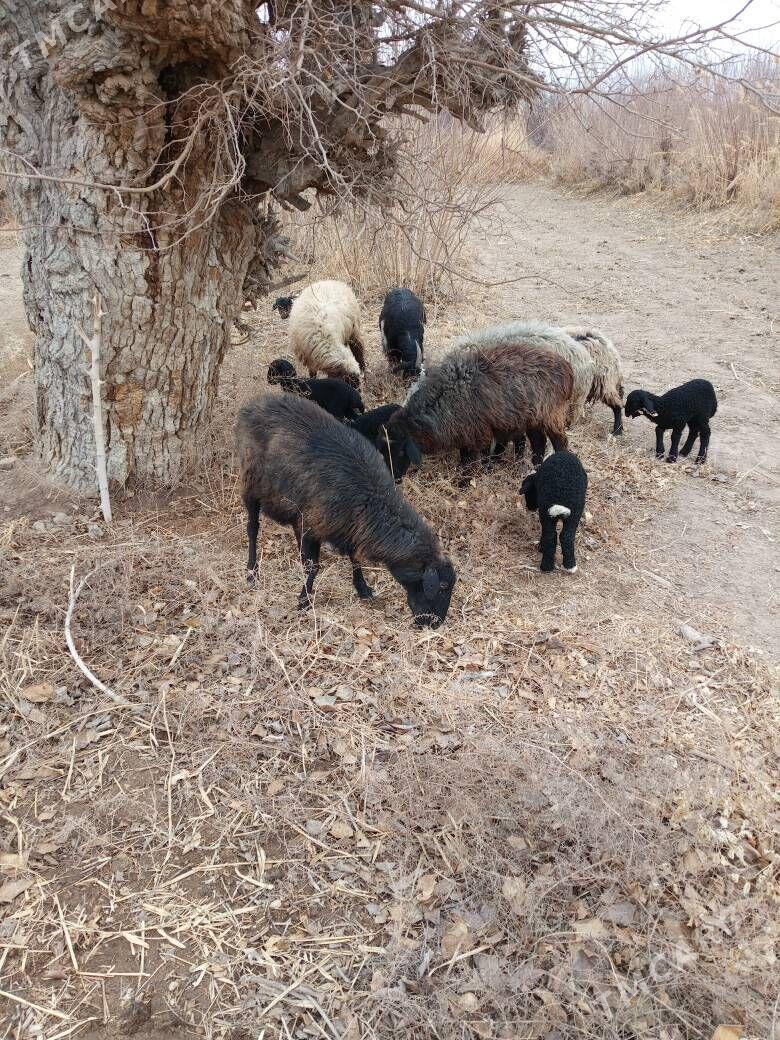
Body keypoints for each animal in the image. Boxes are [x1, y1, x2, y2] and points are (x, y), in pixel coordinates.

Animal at [236, 394, 456, 627]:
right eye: (442, 587)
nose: (435, 623)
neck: (372, 498)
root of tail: (254, 403)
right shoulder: (314, 525)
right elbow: (314, 566)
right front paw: (304, 601)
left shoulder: (350, 529)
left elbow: (355, 559)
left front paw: (362, 589)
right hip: (250, 485)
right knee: (252, 528)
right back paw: (252, 572)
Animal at [385, 338, 574, 478]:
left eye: (400, 451)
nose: (394, 477)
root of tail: (567, 369)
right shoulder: (464, 435)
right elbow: (465, 456)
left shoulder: (477, 435)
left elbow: (471, 461)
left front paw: (465, 482)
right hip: (531, 418)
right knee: (538, 442)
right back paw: (534, 469)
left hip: (551, 415)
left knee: (560, 442)